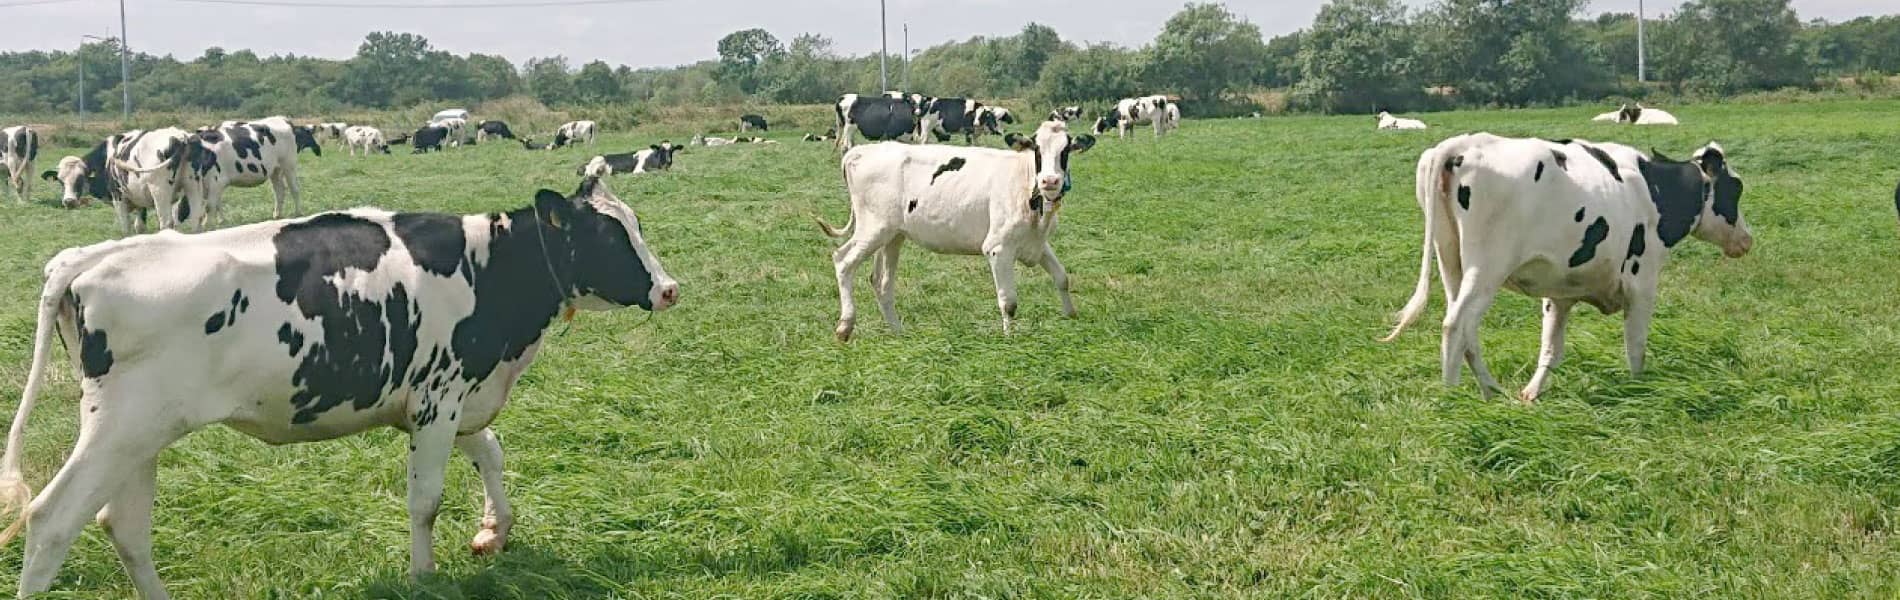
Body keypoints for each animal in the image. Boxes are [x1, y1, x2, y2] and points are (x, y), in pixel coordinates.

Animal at [0, 175, 684, 596]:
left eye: (636, 224)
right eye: (608, 235)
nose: (669, 288)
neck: (489, 267)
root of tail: (91, 256)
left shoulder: (457, 394)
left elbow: (490, 452)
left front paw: (493, 531)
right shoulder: (438, 398)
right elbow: (426, 500)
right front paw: (424, 577)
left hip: (139, 435)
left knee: (123, 525)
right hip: (121, 429)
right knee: (53, 518)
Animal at [817, 120, 1102, 341]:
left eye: (1066, 150)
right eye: (1036, 148)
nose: (1050, 180)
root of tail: (860, 151)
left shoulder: (1038, 244)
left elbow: (1062, 278)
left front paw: (1072, 318)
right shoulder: (998, 248)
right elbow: (1009, 301)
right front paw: (1010, 338)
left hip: (892, 236)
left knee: (881, 282)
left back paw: (898, 332)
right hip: (874, 228)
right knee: (843, 261)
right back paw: (845, 326)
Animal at [1383, 133, 1748, 400]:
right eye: (1736, 188)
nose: (1747, 239)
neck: (1651, 190)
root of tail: (1464, 143)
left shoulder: (1559, 293)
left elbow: (1551, 348)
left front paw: (1531, 394)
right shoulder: (1642, 282)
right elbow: (1636, 345)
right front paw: (1638, 387)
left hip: (1451, 262)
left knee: (1466, 328)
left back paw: (1491, 391)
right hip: (1486, 267)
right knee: (1456, 325)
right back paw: (1452, 398)